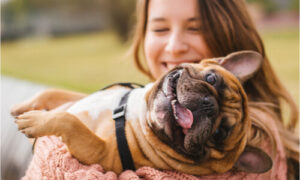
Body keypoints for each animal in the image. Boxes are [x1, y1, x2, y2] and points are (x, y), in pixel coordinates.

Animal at [13, 50, 272, 176]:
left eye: (219, 133)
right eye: (211, 79)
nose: (209, 105)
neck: (138, 114)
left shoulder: (100, 153)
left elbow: (68, 120)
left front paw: (35, 121)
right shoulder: (81, 98)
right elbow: (54, 93)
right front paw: (24, 106)